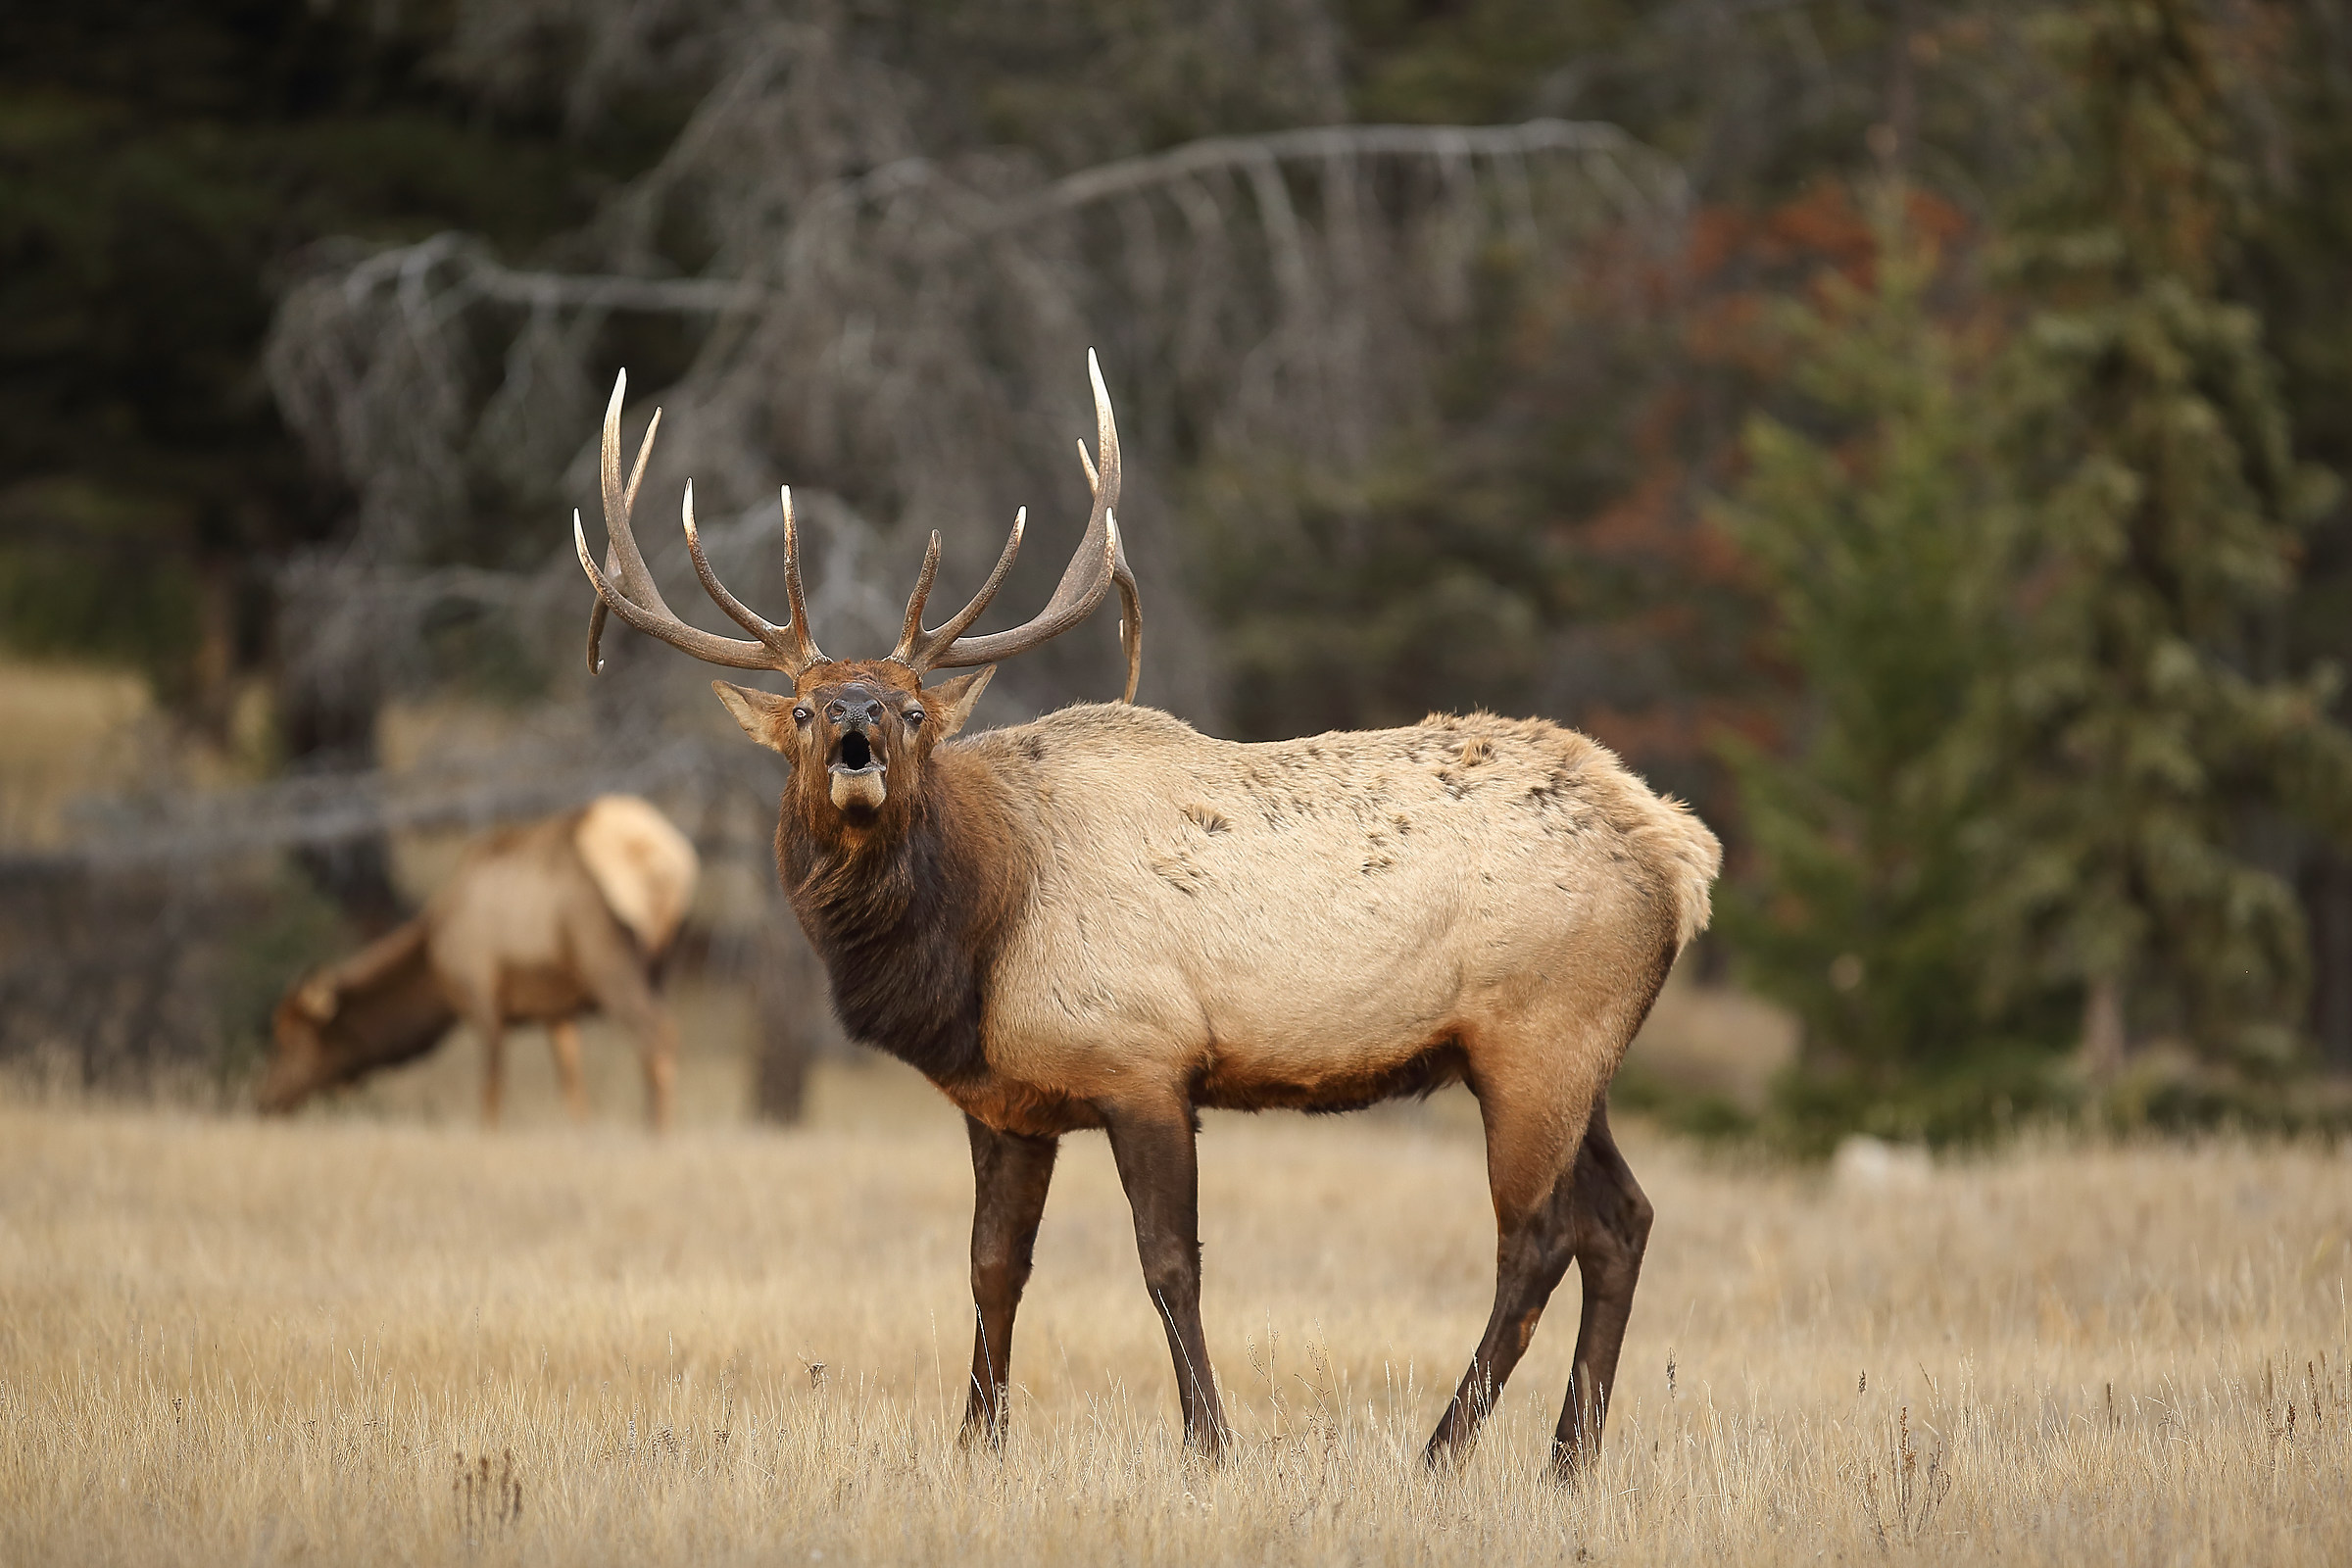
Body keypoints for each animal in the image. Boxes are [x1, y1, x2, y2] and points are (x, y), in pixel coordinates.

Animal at [258, 794, 699, 1130]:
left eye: (288, 1040)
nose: (264, 1099)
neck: (434, 960)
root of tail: (668, 864)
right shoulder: (556, 1012)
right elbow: (573, 1090)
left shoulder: (480, 997)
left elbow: (491, 1089)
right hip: (665, 966)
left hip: (610, 962)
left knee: (657, 1032)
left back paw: (656, 1132)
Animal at [570, 355, 1720, 1479]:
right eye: (806, 709)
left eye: (913, 710)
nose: (856, 719)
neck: (980, 933)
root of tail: (1681, 853)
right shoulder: (1008, 1101)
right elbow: (993, 1266)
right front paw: (975, 1445)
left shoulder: (1144, 1063)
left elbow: (1170, 1265)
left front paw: (1210, 1446)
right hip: (1574, 1059)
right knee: (1623, 1219)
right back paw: (1569, 1463)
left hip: (1536, 1040)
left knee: (1538, 1241)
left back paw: (1442, 1457)